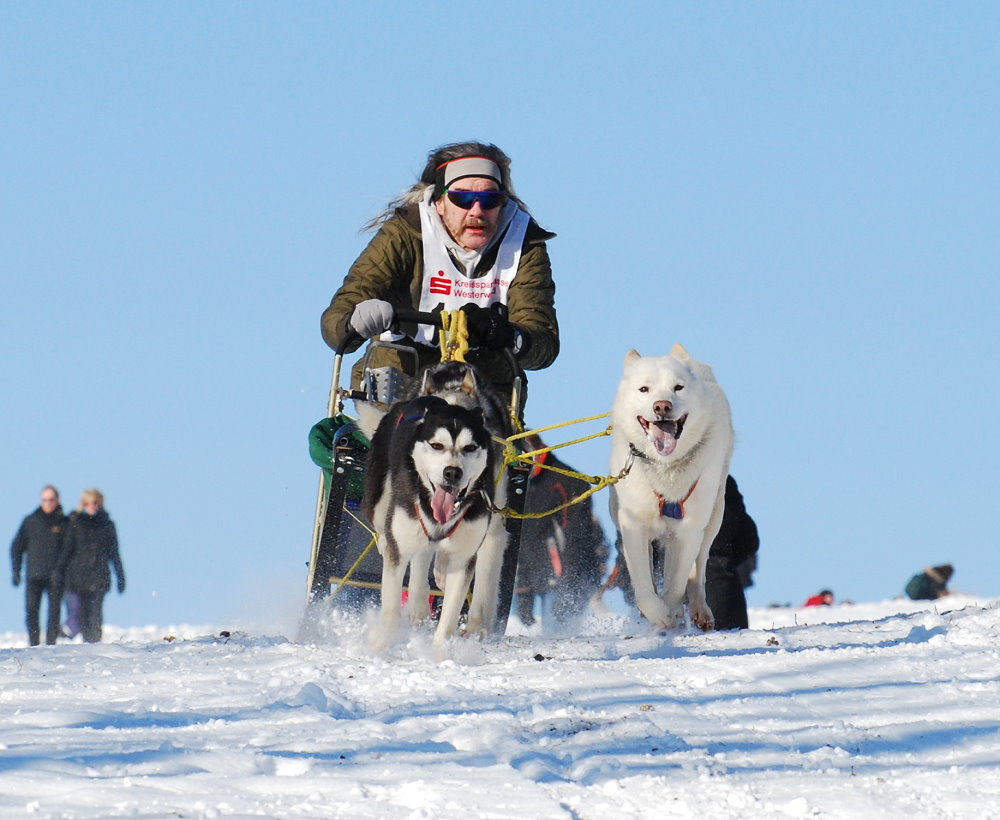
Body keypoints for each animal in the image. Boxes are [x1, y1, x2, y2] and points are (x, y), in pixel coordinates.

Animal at [364, 362, 512, 656]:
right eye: (436, 444)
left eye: (470, 446)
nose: (452, 472)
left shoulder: (486, 531)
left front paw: (473, 629)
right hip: (381, 501)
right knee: (400, 545)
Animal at [604, 342, 732, 632]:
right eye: (644, 389)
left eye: (678, 387)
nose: (662, 406)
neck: (666, 469)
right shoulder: (633, 523)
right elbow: (643, 586)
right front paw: (657, 614)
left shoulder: (689, 529)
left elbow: (676, 585)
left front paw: (671, 614)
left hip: (714, 517)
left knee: (699, 568)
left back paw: (699, 610)